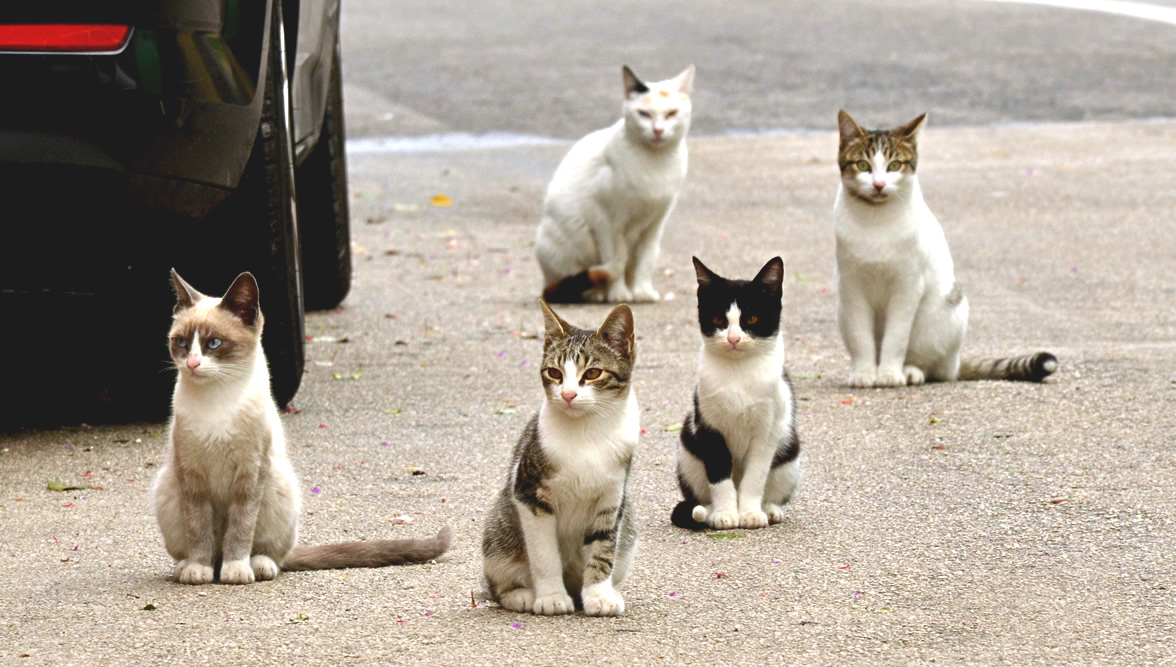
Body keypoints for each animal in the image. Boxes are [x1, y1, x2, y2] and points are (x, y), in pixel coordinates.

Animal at [151, 270, 449, 583]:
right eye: (181, 343)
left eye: (214, 344)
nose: (192, 364)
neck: (217, 400)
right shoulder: (191, 475)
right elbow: (199, 529)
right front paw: (199, 568)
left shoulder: (250, 474)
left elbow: (241, 529)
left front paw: (236, 570)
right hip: (166, 489)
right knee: (203, 548)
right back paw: (190, 566)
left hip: (279, 486)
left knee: (272, 554)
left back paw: (255, 566)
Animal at [482, 301, 639, 616]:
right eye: (554, 373)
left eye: (593, 373)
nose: (567, 394)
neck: (587, 431)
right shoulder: (529, 494)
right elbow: (544, 555)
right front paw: (551, 596)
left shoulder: (612, 498)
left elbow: (603, 548)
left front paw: (598, 594)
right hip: (498, 535)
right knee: (498, 584)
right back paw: (521, 595)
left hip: (628, 531)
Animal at [538, 63, 691, 303]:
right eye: (644, 114)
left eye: (671, 113)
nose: (658, 130)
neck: (655, 163)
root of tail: (545, 283)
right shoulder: (607, 223)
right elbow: (616, 257)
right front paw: (619, 293)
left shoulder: (656, 223)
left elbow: (646, 260)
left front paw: (642, 291)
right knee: (574, 282)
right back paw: (596, 293)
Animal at [672, 257, 799, 531]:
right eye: (719, 320)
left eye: (751, 319)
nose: (733, 338)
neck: (738, 373)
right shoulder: (708, 427)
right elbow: (720, 477)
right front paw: (725, 514)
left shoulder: (767, 431)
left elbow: (755, 476)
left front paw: (750, 513)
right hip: (688, 450)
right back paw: (708, 512)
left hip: (790, 452)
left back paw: (769, 509)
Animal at [832, 112, 1063, 388]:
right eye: (863, 165)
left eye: (894, 165)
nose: (878, 185)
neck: (875, 221)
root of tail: (956, 360)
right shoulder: (852, 286)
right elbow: (861, 337)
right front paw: (865, 372)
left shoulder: (907, 285)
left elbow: (896, 337)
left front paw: (889, 373)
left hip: (942, 316)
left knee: (934, 366)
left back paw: (911, 371)